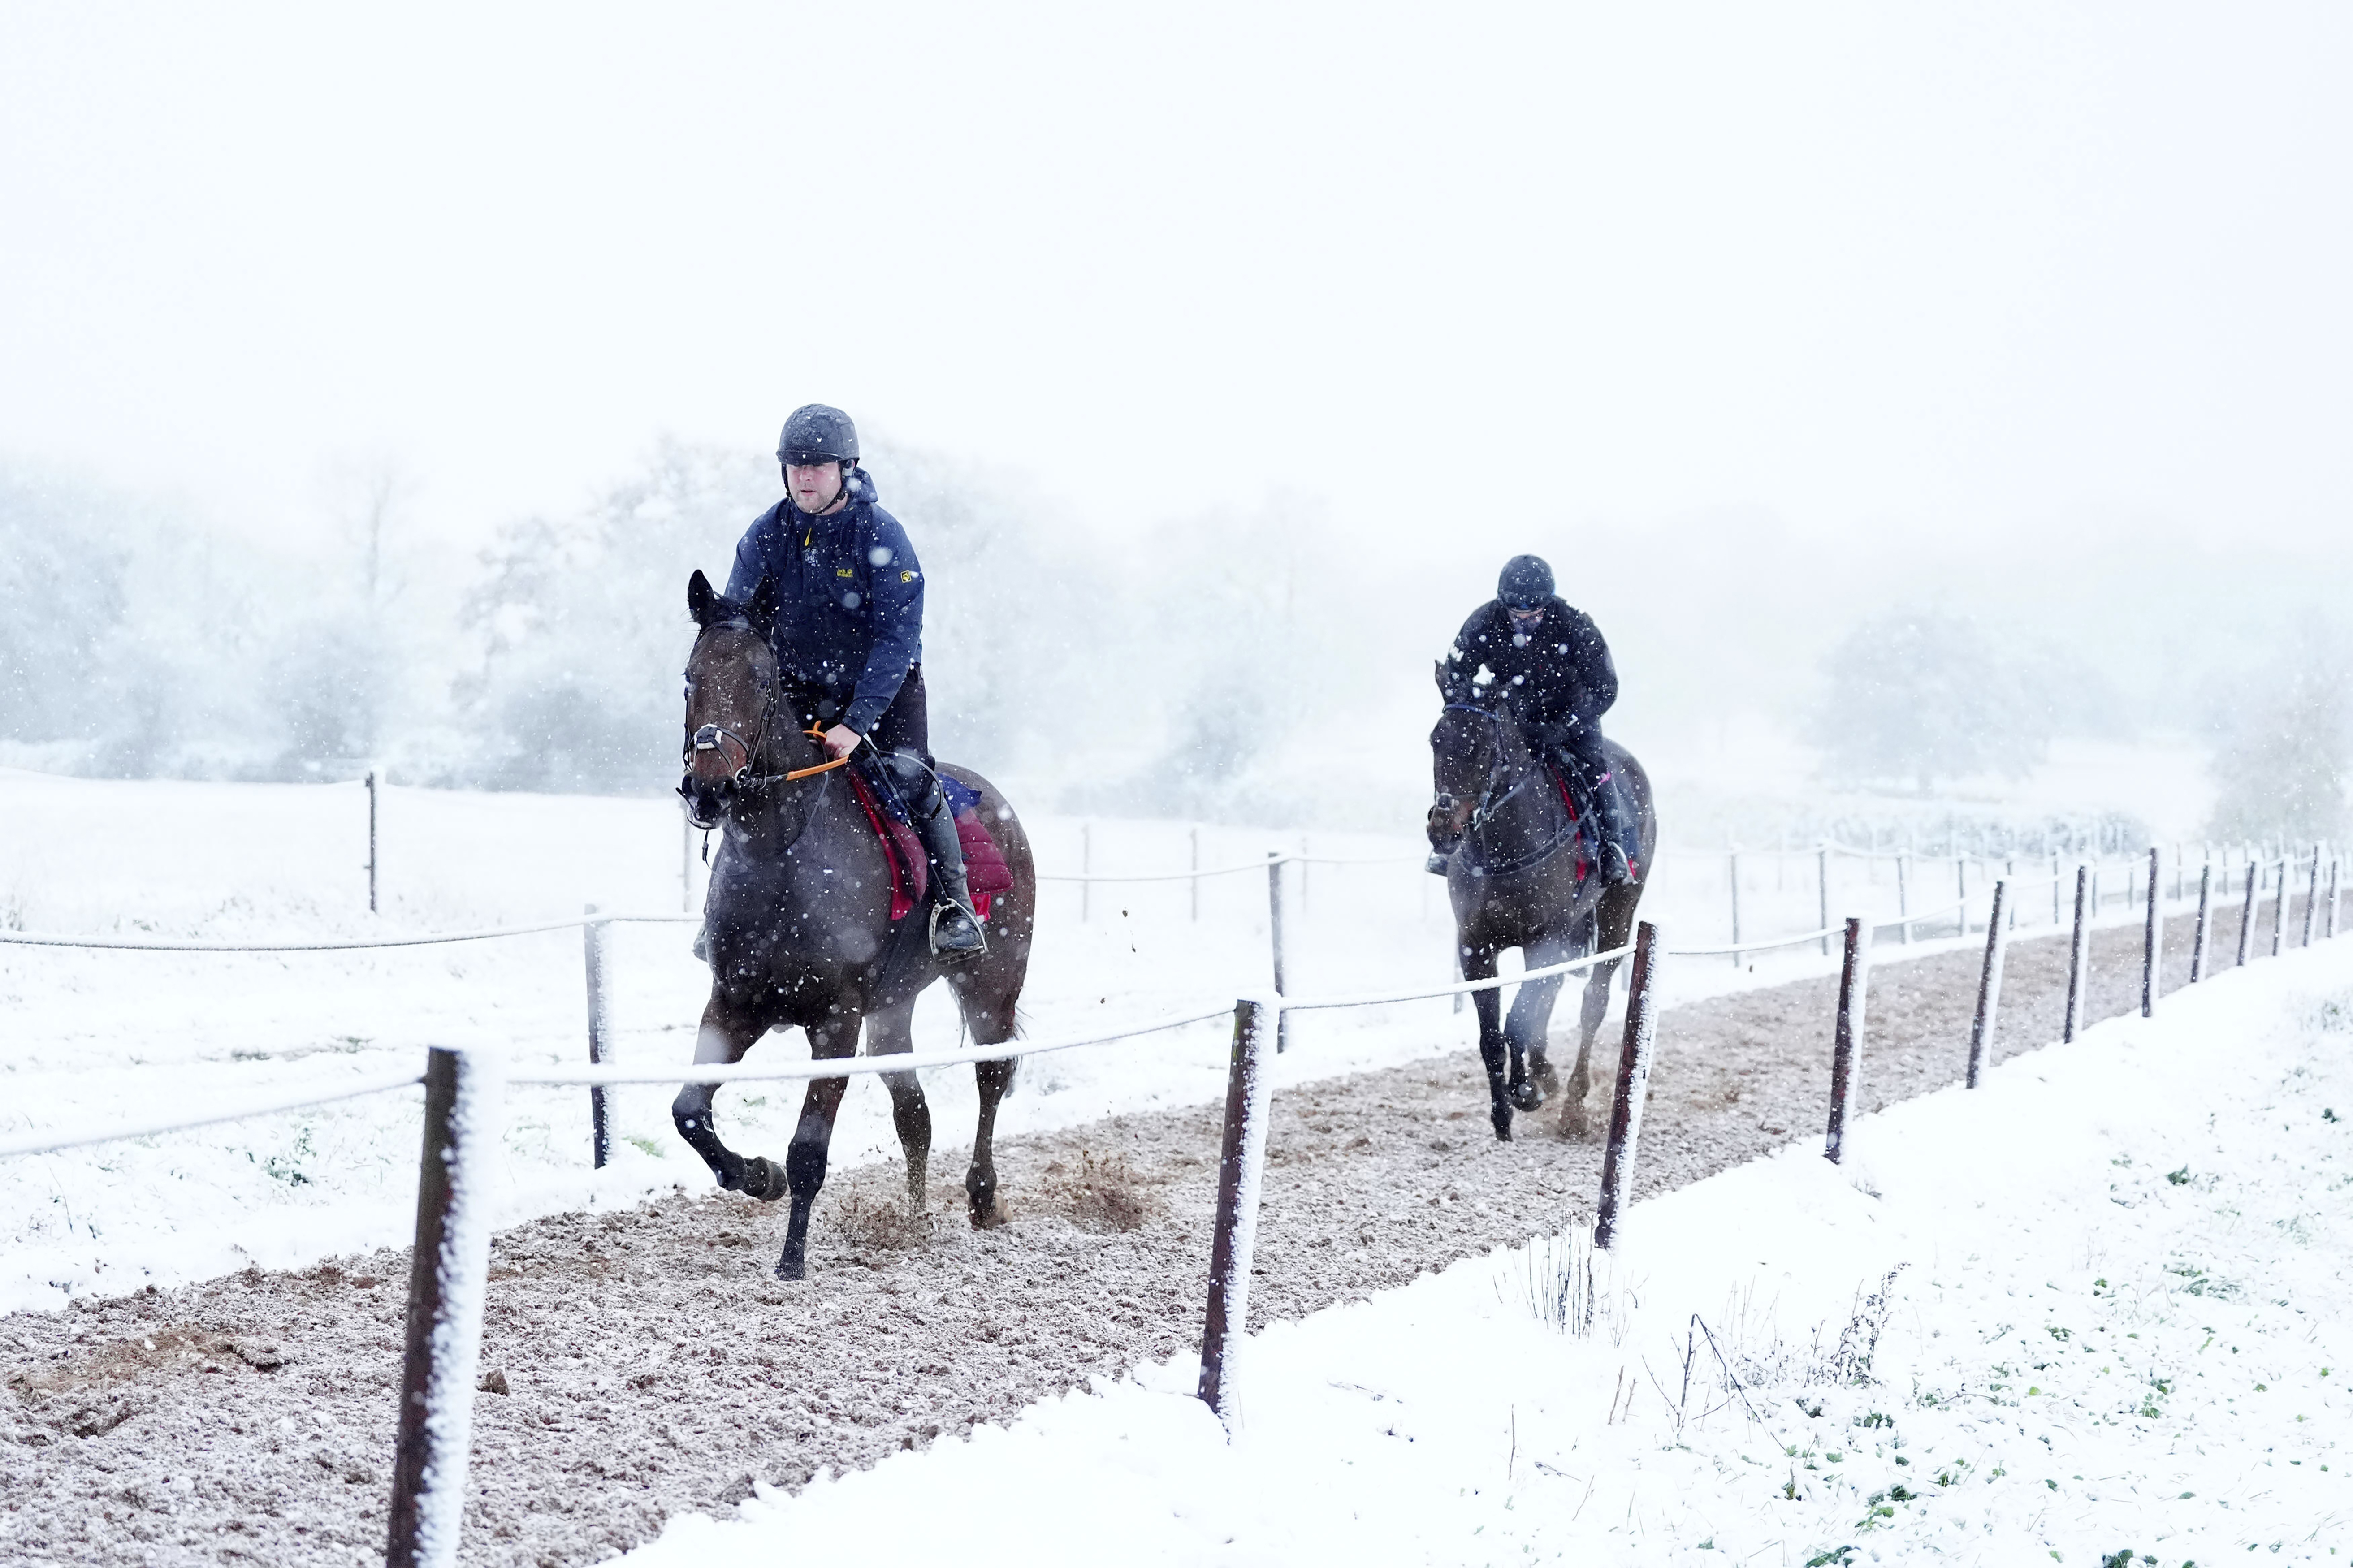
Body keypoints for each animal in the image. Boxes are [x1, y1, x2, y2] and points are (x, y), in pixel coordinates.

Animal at [663, 567, 1030, 1281]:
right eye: (691, 678)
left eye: (762, 681)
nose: (710, 788)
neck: (781, 853)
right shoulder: (734, 1002)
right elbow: (689, 1111)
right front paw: (758, 1174)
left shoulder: (837, 1017)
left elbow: (809, 1148)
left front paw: (791, 1259)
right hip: (892, 1012)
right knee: (913, 1113)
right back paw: (916, 1218)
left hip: (993, 983)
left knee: (991, 1077)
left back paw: (982, 1195)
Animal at [1412, 687, 1657, 1135]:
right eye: (1436, 740)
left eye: (1483, 747)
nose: (1442, 827)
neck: (1504, 850)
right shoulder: (1475, 946)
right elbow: (1493, 1033)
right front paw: (1503, 1109)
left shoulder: (1545, 938)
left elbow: (1518, 1018)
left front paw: (1524, 1091)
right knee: (1552, 992)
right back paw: (1547, 1073)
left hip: (1619, 910)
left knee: (1592, 1001)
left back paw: (1573, 1103)